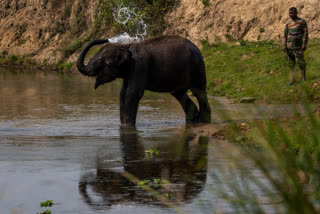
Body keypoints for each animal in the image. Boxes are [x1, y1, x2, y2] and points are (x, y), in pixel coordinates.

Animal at [77, 35, 211, 125]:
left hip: (196, 69)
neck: (125, 46)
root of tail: (197, 48)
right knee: (180, 94)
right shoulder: (129, 72)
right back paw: (192, 121)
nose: (106, 39)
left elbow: (132, 94)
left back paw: (203, 122)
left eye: (100, 62)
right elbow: (122, 94)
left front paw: (128, 127)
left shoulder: (140, 66)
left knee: (199, 92)